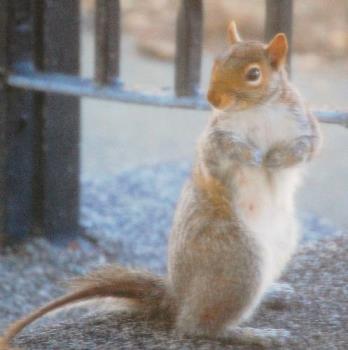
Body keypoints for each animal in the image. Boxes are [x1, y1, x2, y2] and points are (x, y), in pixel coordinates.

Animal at [0, 22, 320, 350]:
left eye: (253, 74)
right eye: (216, 62)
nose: (213, 99)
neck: (257, 110)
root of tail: (177, 298)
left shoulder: (303, 125)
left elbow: (305, 149)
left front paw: (276, 158)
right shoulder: (215, 137)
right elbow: (224, 150)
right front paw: (252, 156)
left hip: (275, 245)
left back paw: (271, 294)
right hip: (239, 260)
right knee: (197, 325)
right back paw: (256, 333)